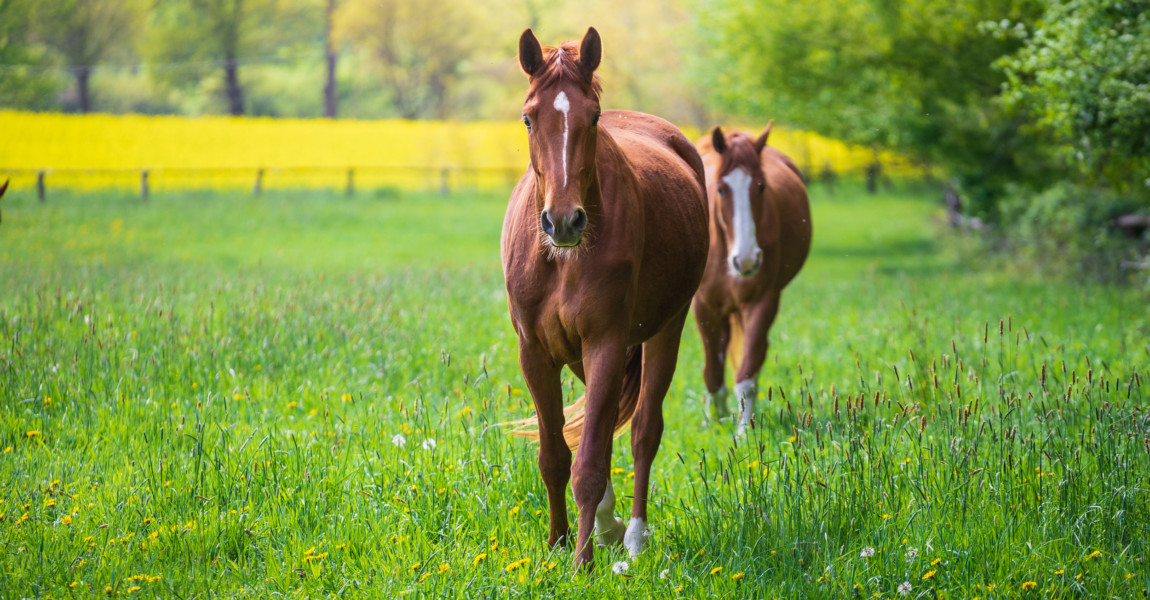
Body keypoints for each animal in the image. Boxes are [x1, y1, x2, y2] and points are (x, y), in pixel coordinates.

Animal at [503, 26, 708, 565]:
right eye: (529, 117)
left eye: (592, 117)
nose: (564, 222)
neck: (561, 261)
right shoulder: (536, 353)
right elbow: (555, 456)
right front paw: (557, 543)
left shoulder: (606, 345)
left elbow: (592, 462)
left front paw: (581, 564)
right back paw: (608, 525)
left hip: (666, 330)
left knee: (643, 431)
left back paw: (632, 536)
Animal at [685, 124, 814, 434]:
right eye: (721, 188)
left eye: (761, 186)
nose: (745, 260)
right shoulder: (704, 307)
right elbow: (712, 372)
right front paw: (713, 422)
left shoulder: (761, 302)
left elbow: (747, 374)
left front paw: (744, 431)